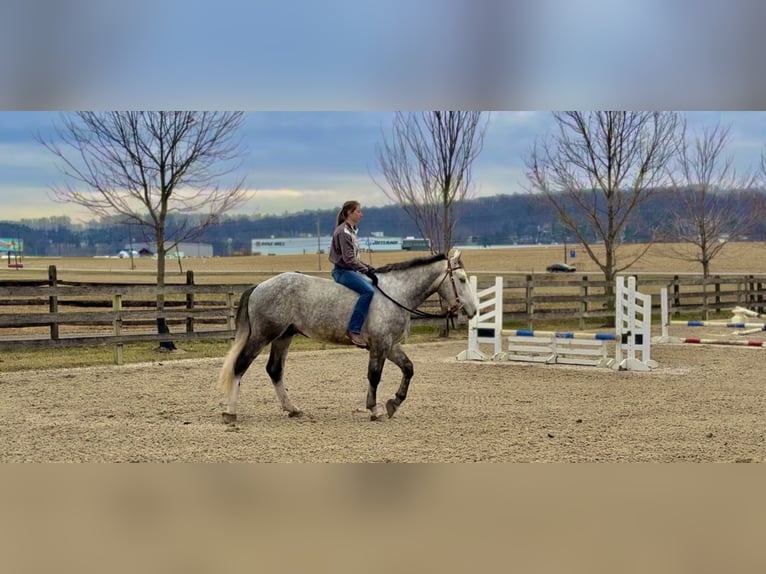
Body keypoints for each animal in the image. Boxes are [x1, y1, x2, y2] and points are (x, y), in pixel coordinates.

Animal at [216, 248, 478, 423]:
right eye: (461, 279)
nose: (473, 310)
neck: (395, 293)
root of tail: (259, 286)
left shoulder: (390, 346)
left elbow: (408, 368)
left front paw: (394, 403)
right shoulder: (380, 345)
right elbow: (374, 376)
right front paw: (374, 409)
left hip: (284, 337)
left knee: (274, 370)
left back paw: (292, 409)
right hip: (263, 335)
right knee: (240, 366)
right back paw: (231, 412)